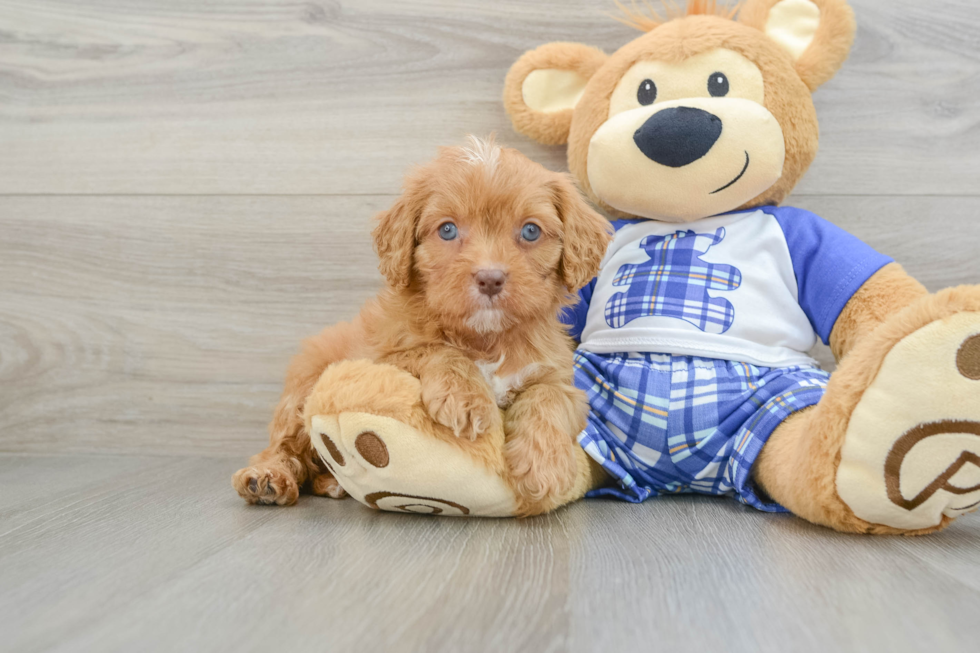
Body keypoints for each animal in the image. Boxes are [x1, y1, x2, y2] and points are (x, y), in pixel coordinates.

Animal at [233, 136, 608, 516]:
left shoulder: (560, 379)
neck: (486, 339)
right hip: (304, 386)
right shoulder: (382, 356)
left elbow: (548, 396)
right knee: (285, 446)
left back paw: (331, 482)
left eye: (531, 231)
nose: (490, 278)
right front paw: (466, 397)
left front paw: (544, 465)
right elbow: (433, 349)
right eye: (447, 230)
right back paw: (267, 477)